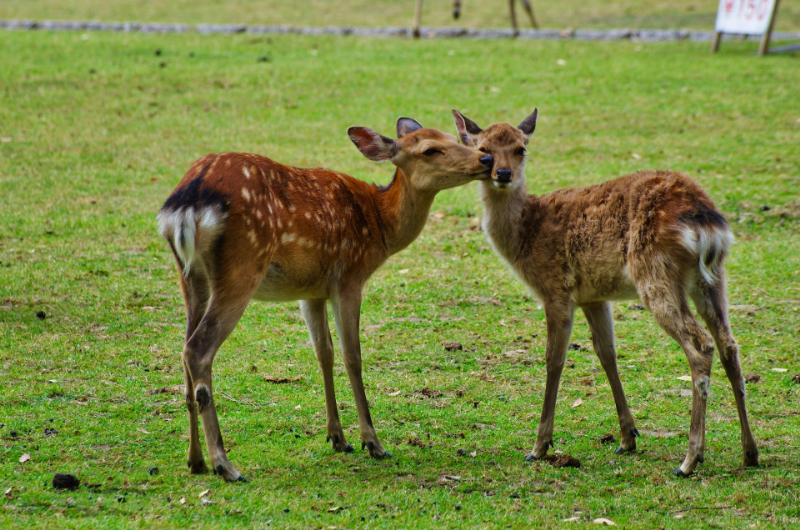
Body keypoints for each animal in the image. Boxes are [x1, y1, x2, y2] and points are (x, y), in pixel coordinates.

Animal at [158, 118, 494, 478]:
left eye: (452, 136)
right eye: (430, 149)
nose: (486, 159)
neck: (380, 226)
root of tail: (187, 204)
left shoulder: (311, 291)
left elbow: (324, 352)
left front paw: (338, 438)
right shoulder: (348, 278)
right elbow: (352, 355)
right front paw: (373, 443)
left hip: (191, 277)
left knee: (184, 349)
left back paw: (195, 460)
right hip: (242, 267)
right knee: (198, 349)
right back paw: (224, 464)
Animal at [454, 107, 760, 474]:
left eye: (521, 148)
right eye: (483, 150)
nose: (502, 173)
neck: (526, 233)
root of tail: (704, 220)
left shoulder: (556, 289)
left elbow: (554, 359)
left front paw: (539, 447)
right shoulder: (594, 296)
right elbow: (607, 353)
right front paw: (628, 438)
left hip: (656, 274)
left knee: (701, 345)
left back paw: (689, 460)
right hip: (712, 278)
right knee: (729, 344)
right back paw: (750, 453)